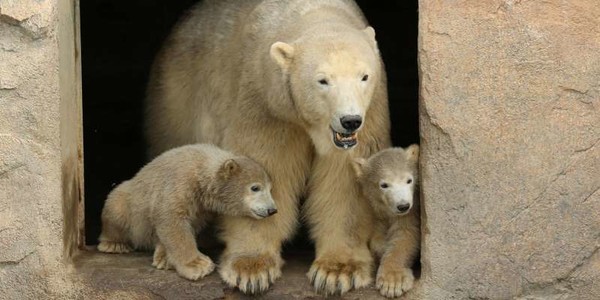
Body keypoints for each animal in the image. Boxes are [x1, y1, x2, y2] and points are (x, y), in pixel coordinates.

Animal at [98, 144, 276, 280]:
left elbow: (189, 225)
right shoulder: (179, 182)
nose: (272, 210)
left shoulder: (201, 207)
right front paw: (198, 265)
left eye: (270, 188)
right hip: (127, 200)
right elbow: (171, 220)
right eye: (255, 187)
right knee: (116, 207)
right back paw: (114, 244)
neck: (201, 170)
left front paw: (164, 259)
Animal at [144, 0, 392, 296]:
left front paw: (338, 271)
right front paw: (252, 268)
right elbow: (265, 165)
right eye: (322, 80)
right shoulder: (265, 102)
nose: (350, 120)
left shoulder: (370, 113)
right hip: (177, 93)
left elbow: (344, 182)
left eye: (364, 76)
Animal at [354, 145, 420, 298]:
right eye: (384, 185)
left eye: (409, 180)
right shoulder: (374, 213)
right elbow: (376, 238)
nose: (403, 205)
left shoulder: (411, 212)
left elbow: (405, 236)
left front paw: (393, 282)